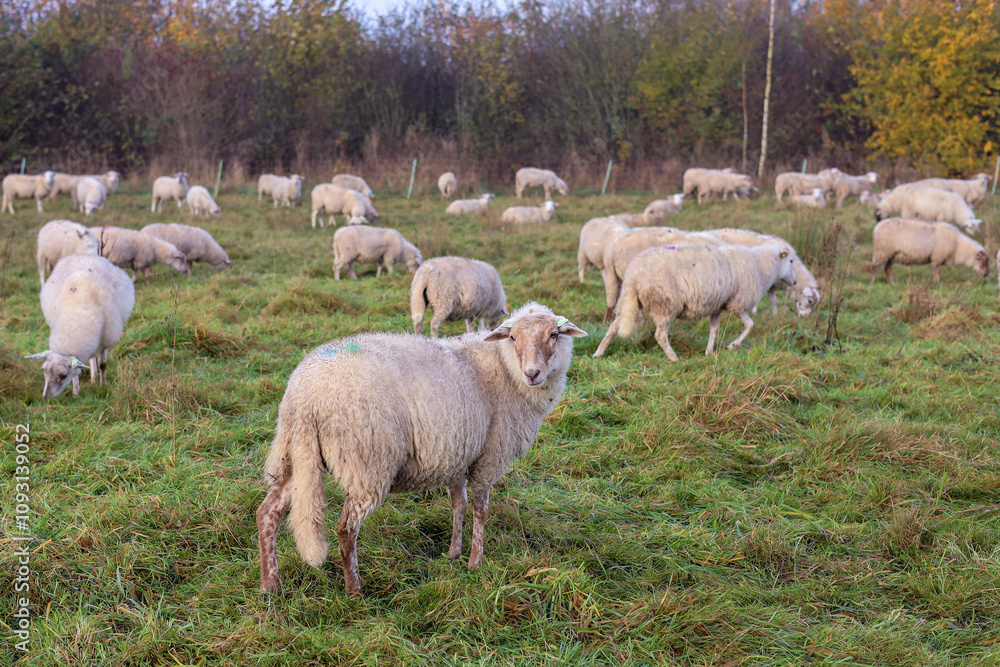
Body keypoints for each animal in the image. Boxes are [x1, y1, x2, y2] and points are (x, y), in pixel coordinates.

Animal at [25, 253, 135, 398]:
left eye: (63, 375)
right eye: (44, 370)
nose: (45, 398)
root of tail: (84, 254)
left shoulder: (106, 341)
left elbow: (103, 364)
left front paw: (103, 385)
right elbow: (78, 372)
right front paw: (76, 392)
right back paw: (93, 377)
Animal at [255, 301, 587, 595]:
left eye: (553, 335)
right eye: (514, 337)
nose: (533, 373)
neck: (504, 367)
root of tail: (305, 394)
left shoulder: (458, 452)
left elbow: (458, 504)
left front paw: (454, 553)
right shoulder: (490, 455)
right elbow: (480, 510)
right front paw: (475, 563)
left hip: (299, 454)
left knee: (267, 512)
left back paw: (271, 585)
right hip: (367, 462)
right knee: (346, 529)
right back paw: (355, 591)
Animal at [594, 243, 797, 361]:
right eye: (791, 261)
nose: (795, 282)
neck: (760, 265)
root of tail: (633, 274)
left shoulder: (717, 305)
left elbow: (714, 329)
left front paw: (709, 351)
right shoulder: (737, 303)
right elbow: (750, 324)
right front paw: (733, 345)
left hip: (631, 300)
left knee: (614, 327)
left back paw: (599, 353)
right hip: (665, 303)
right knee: (660, 335)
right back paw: (674, 358)